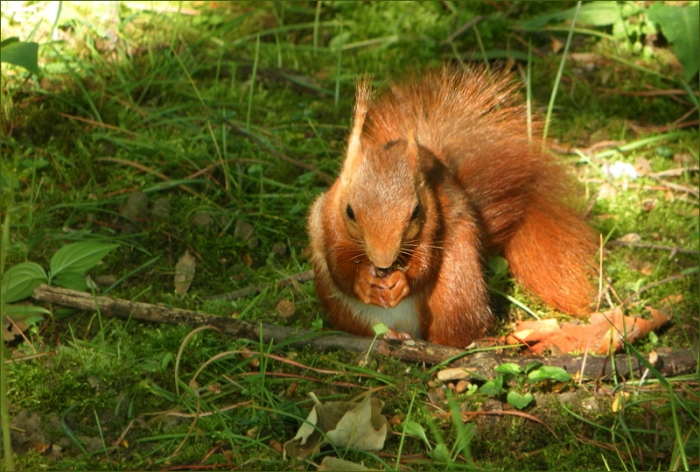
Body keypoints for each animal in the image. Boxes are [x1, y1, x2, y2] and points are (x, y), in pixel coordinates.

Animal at [307, 66, 598, 348]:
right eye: (350, 212)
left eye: (415, 212)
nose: (383, 262)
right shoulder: (328, 217)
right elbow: (337, 261)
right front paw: (363, 282)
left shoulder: (434, 215)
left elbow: (426, 261)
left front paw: (403, 281)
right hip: (346, 309)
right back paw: (391, 334)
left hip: (456, 287)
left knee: (456, 326)